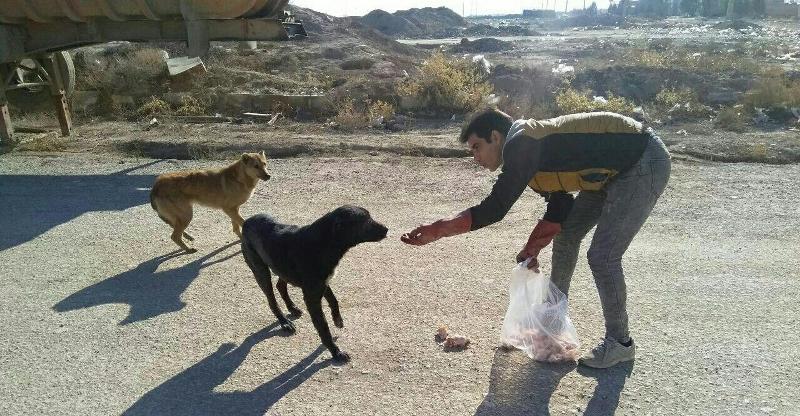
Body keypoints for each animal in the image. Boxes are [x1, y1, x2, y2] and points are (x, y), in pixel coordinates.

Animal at [241, 206, 388, 362]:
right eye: (365, 220)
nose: (387, 229)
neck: (324, 243)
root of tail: (246, 222)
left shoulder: (323, 283)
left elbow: (334, 300)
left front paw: (337, 319)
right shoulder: (312, 297)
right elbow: (323, 327)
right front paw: (335, 352)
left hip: (282, 269)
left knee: (280, 286)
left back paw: (292, 308)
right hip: (261, 271)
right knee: (271, 300)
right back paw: (284, 322)